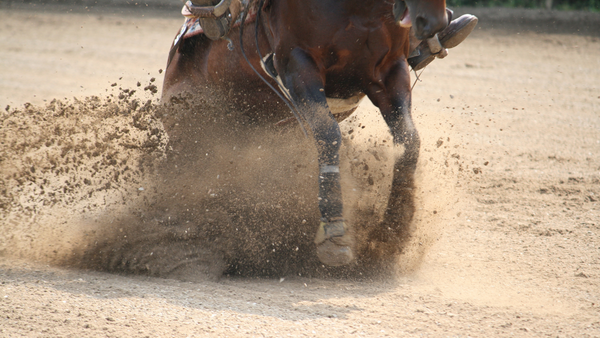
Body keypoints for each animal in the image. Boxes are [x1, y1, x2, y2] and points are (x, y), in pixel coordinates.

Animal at [162, 0, 448, 266]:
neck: (360, 8)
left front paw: (394, 227)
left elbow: (409, 140)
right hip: (189, 120)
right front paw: (334, 231)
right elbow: (328, 134)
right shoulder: (298, 65)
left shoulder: (391, 70)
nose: (432, 21)